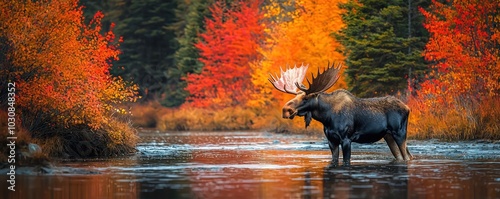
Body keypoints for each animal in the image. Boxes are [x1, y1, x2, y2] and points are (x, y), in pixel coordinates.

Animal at [270, 62, 414, 165]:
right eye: (296, 96)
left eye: (306, 98)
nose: (286, 110)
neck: (327, 118)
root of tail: (408, 108)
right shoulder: (331, 140)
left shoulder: (346, 139)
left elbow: (346, 160)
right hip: (388, 135)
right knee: (403, 156)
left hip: (399, 132)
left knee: (407, 156)